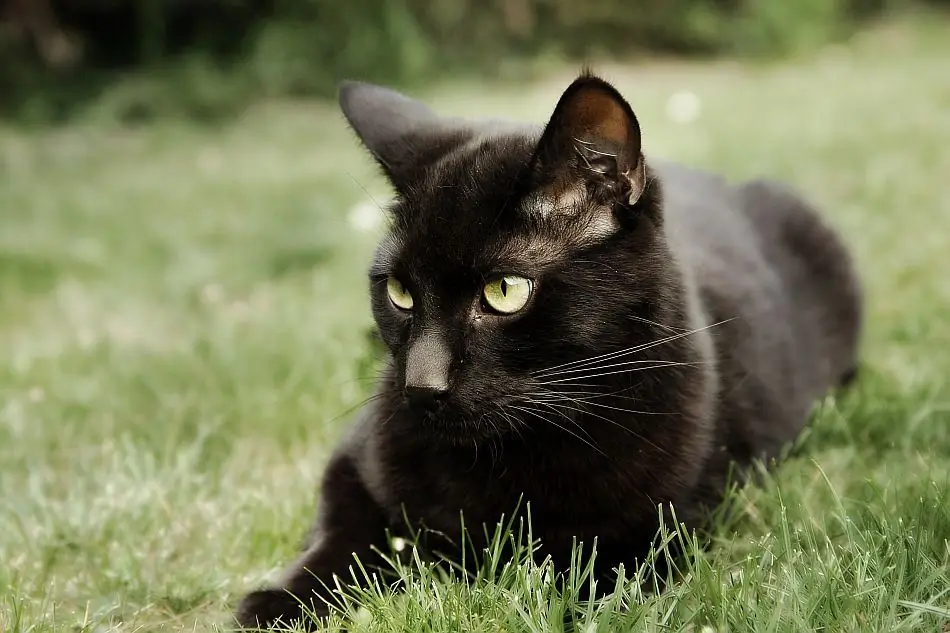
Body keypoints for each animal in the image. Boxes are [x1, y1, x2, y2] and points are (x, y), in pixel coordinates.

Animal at [234, 73, 868, 628]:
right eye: (398, 292)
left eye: (504, 291)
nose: (421, 384)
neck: (510, 457)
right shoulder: (355, 458)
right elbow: (340, 531)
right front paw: (278, 602)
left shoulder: (660, 530)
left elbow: (597, 587)